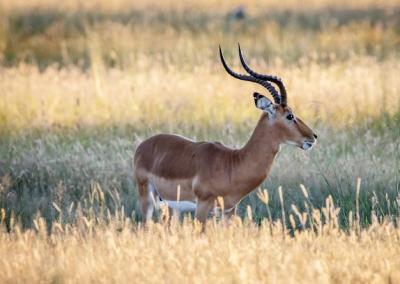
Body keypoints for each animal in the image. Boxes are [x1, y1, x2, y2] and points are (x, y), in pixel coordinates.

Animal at [133, 45, 318, 226]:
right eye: (290, 116)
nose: (313, 136)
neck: (233, 164)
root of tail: (143, 145)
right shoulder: (203, 206)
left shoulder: (229, 211)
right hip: (147, 198)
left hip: (171, 207)